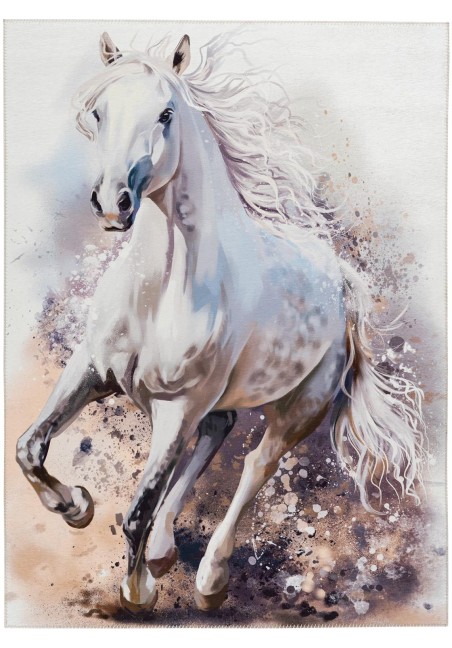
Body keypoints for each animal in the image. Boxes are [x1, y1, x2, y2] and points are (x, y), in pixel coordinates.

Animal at [16, 31, 425, 615]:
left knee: (256, 464)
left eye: (165, 113)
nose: (114, 203)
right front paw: (76, 506)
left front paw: (138, 592)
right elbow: (29, 448)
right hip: (219, 401)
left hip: (302, 407)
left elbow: (138, 510)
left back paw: (209, 577)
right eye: (99, 111)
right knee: (219, 430)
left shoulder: (177, 407)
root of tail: (341, 280)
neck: (158, 293)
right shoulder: (92, 369)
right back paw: (165, 550)